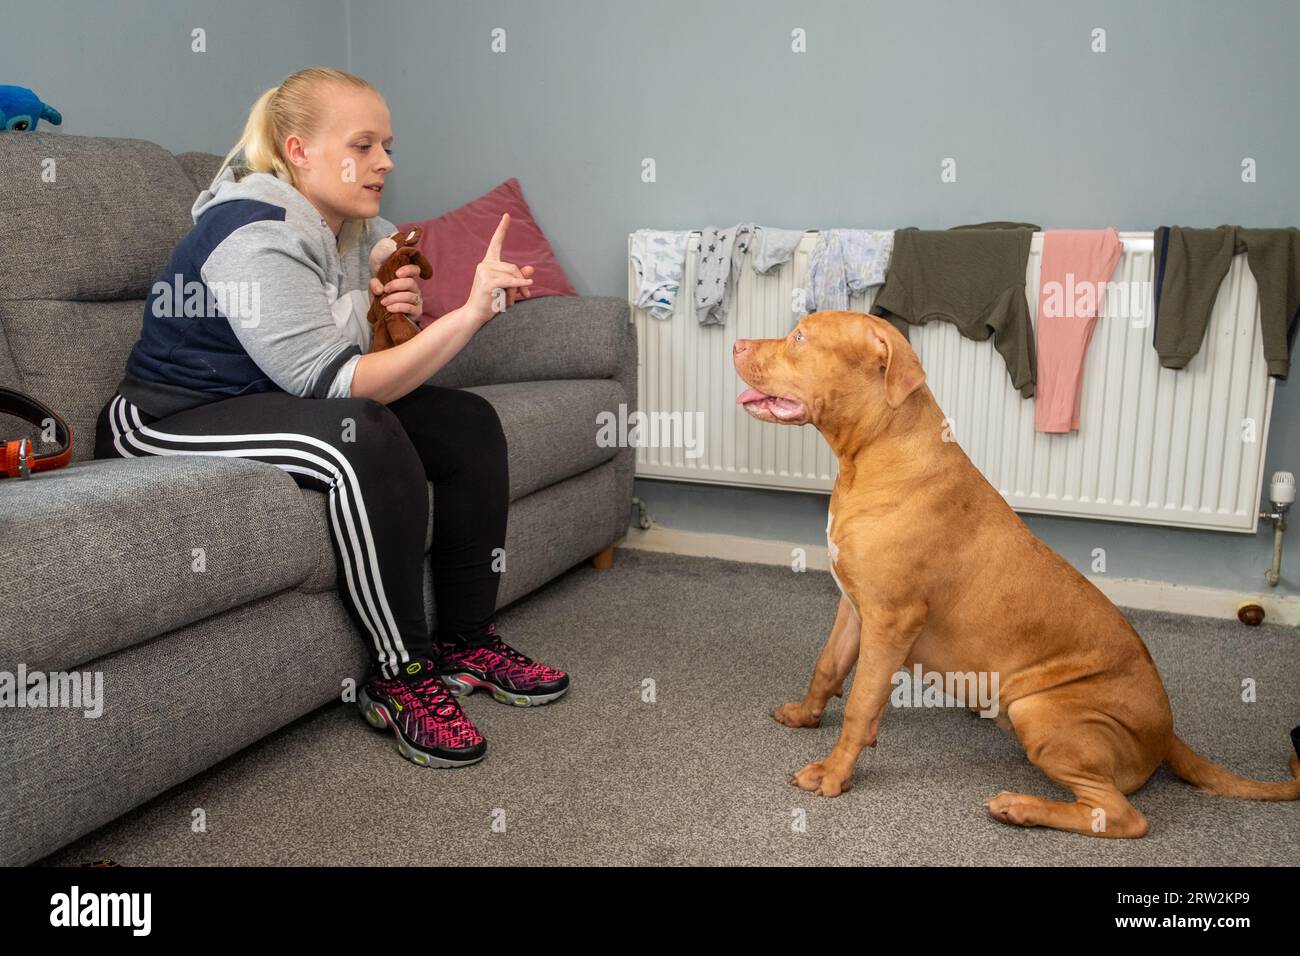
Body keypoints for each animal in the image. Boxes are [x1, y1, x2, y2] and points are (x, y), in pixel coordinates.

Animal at [738, 312, 1294, 837]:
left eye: (801, 337)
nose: (737, 344)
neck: (874, 453)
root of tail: (1167, 734)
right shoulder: (854, 607)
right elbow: (828, 668)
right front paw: (805, 716)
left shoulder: (891, 620)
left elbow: (859, 704)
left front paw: (834, 772)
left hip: (1039, 711)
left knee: (1121, 815)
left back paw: (1022, 808)